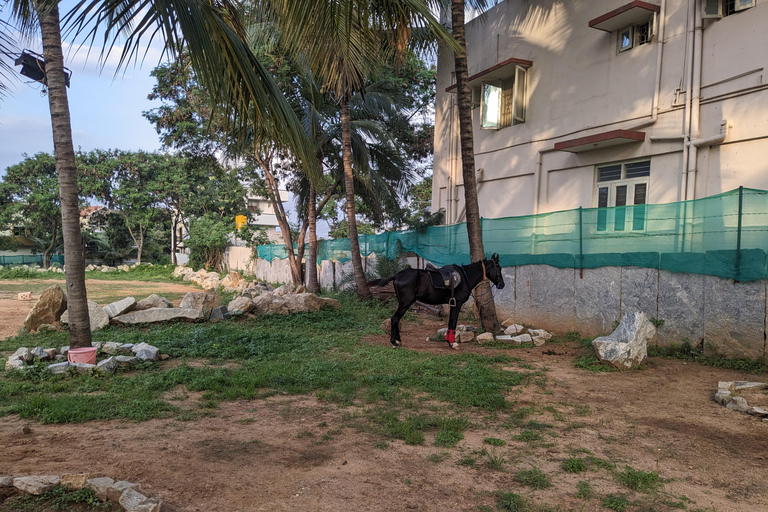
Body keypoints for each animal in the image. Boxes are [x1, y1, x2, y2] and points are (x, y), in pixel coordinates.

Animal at [370, 254, 508, 350]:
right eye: (499, 268)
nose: (502, 285)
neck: (465, 278)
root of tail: (397, 275)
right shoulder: (457, 304)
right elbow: (453, 322)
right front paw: (453, 343)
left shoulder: (453, 304)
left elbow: (451, 322)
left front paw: (449, 341)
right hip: (405, 303)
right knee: (394, 319)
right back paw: (394, 342)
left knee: (397, 319)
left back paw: (398, 340)